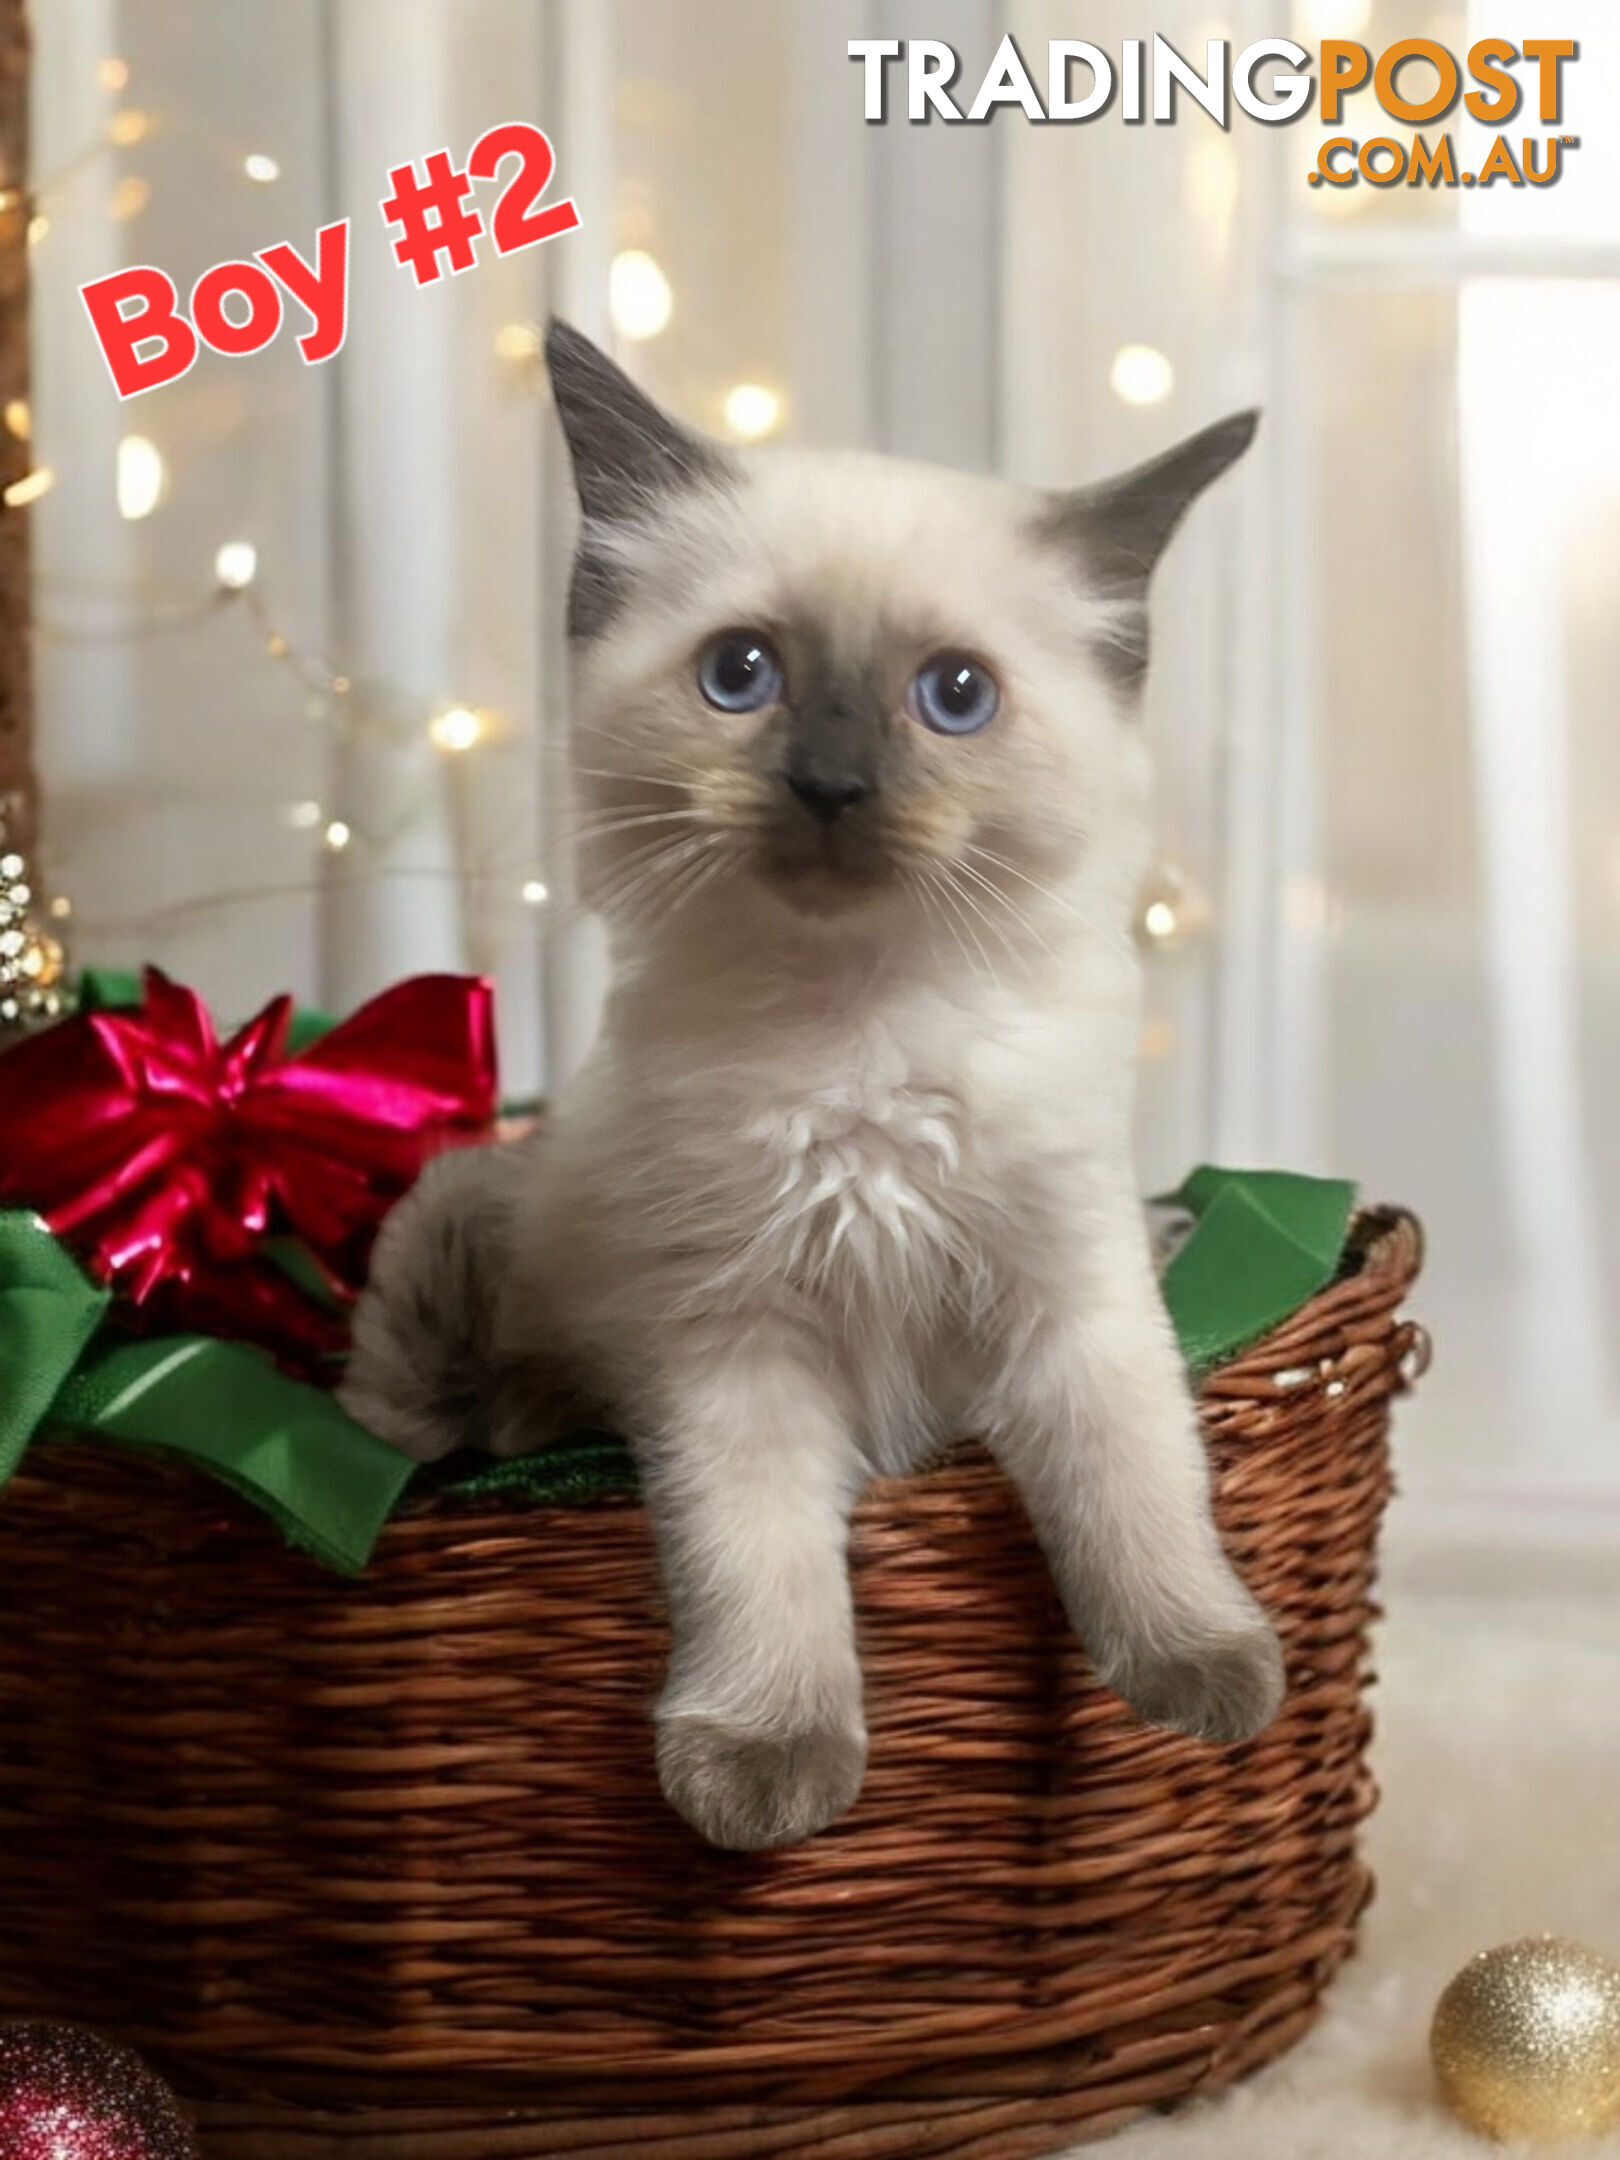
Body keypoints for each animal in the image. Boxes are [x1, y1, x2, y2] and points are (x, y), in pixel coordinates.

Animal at [343, 324, 1278, 1857]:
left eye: (954, 696)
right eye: (741, 675)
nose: (833, 787)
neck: (862, 1030)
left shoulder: (1070, 1299)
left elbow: (1138, 1482)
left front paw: (1206, 1676)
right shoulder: (733, 1343)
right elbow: (762, 1561)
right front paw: (765, 1772)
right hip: (457, 1253)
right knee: (442, 1408)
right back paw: (534, 1413)